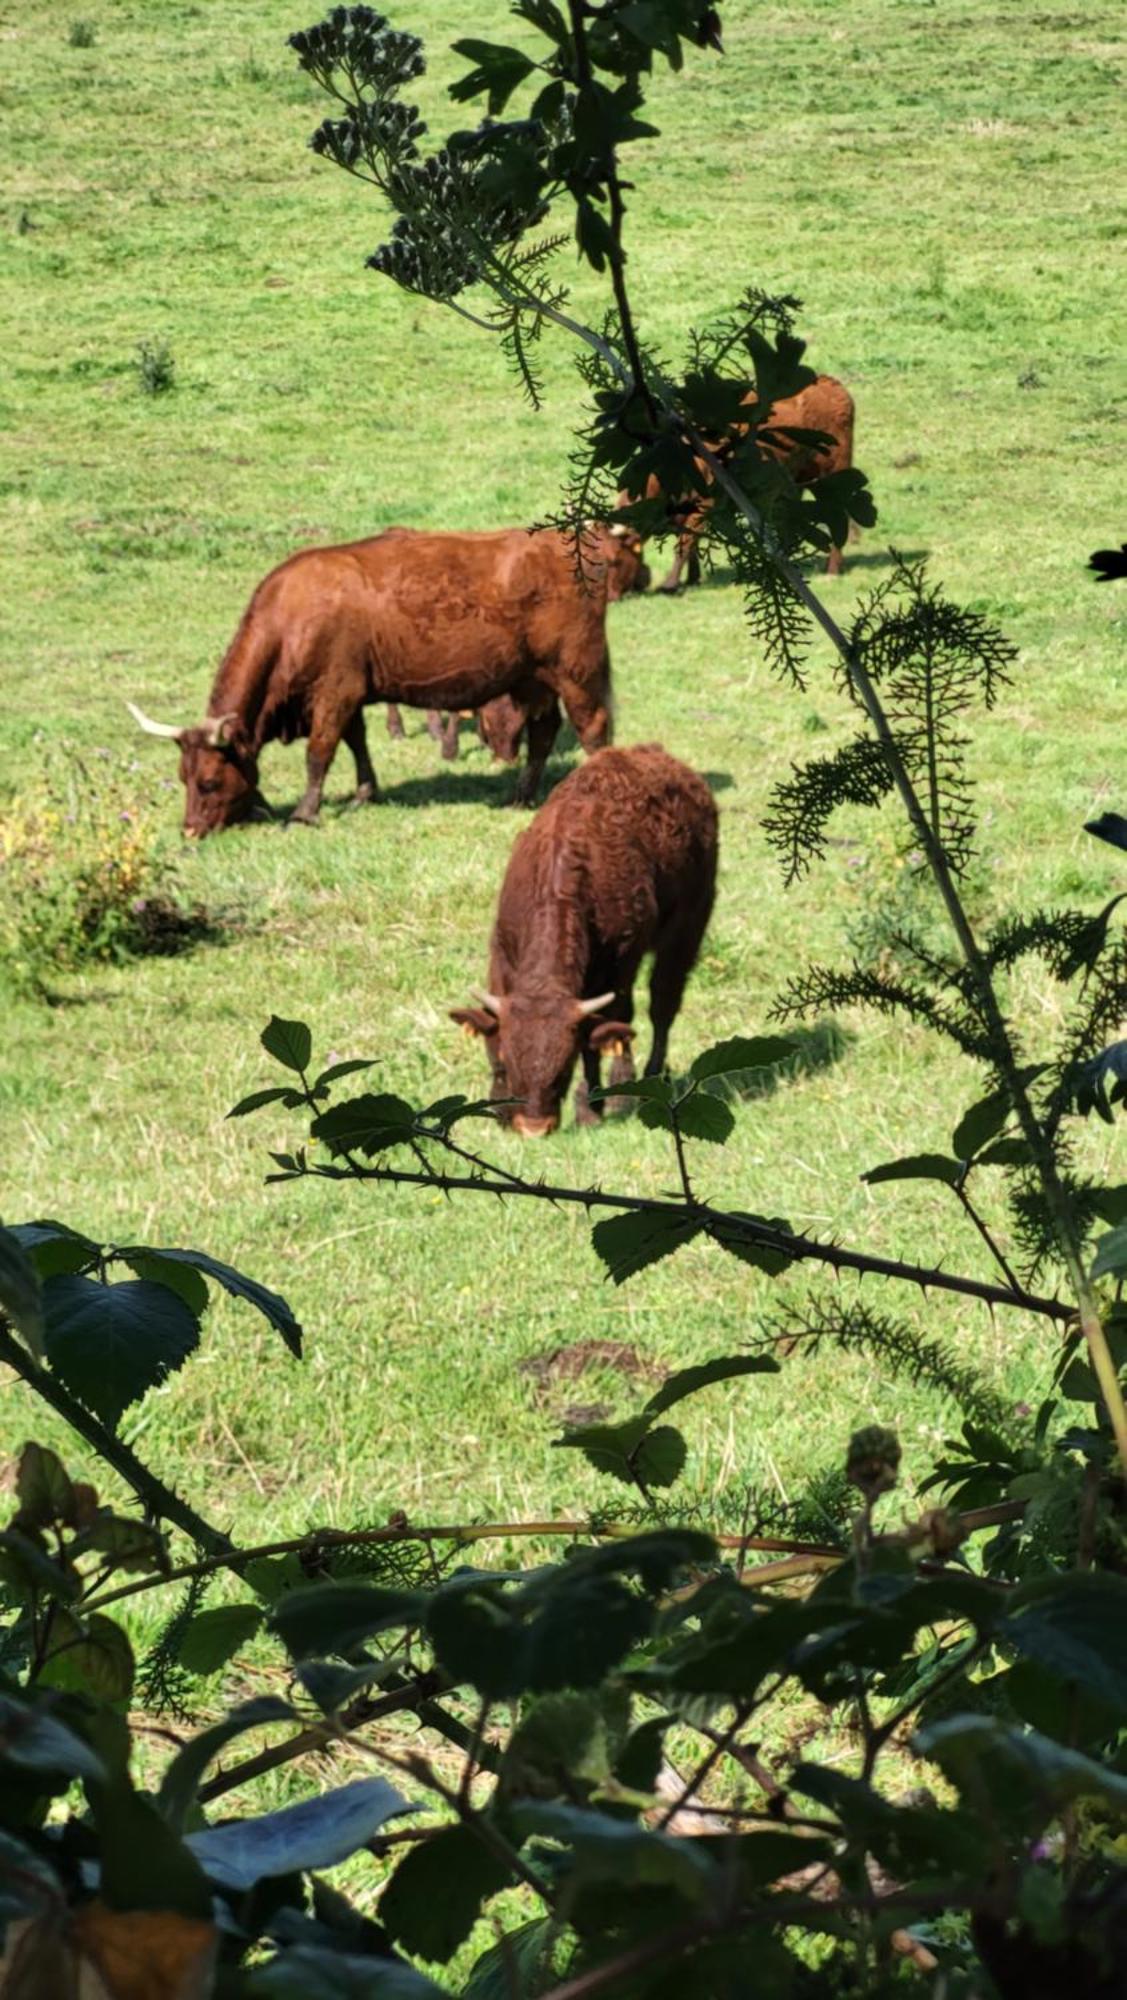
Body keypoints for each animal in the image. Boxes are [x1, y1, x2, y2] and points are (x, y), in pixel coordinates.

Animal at [133, 528, 623, 832]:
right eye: (182, 776)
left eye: (209, 782)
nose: (190, 830)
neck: (293, 615)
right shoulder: (348, 692)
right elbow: (357, 742)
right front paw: (364, 793)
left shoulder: (336, 691)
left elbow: (320, 753)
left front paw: (304, 813)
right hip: (533, 679)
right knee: (544, 733)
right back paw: (520, 796)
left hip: (576, 670)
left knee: (592, 728)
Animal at [453, 744, 719, 1136]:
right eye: (510, 1062)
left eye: (564, 1068)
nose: (534, 1128)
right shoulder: (502, 955)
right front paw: (499, 1108)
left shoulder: (620, 961)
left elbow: (605, 1033)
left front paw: (592, 1107)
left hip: (686, 930)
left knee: (661, 1005)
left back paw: (647, 1079)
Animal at [623, 374, 855, 592]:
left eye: (615, 559)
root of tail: (831, 384)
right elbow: (691, 544)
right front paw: (691, 579)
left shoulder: (706, 504)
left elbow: (685, 543)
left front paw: (670, 584)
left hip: (834, 475)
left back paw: (832, 570)